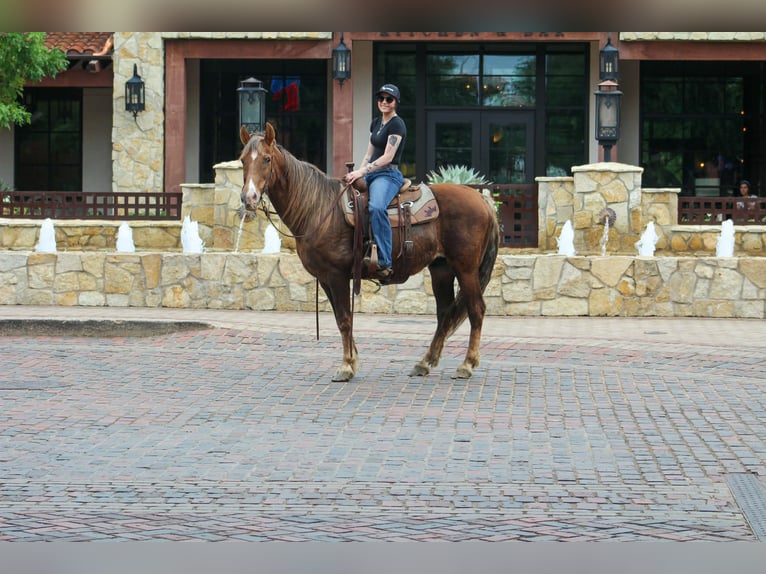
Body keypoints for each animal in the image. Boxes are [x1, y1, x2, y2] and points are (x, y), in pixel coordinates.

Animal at [240, 122, 499, 382]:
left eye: (266, 159)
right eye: (242, 160)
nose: (248, 197)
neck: (319, 209)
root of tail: (482, 199)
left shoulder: (336, 275)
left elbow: (345, 319)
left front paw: (345, 367)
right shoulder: (325, 278)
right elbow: (340, 318)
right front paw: (352, 360)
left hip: (466, 269)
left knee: (476, 310)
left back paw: (466, 365)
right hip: (441, 269)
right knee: (445, 312)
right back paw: (424, 363)